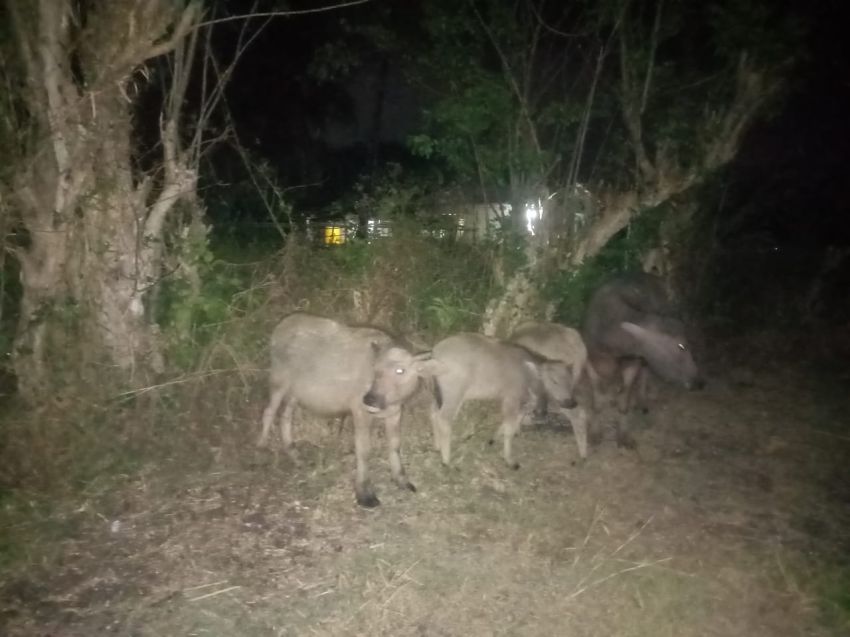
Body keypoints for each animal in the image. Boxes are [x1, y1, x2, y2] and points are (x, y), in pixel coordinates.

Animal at [256, 314, 430, 506]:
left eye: (400, 370)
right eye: (375, 368)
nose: (370, 399)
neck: (389, 402)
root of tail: (280, 326)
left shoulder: (396, 412)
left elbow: (395, 444)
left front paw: (402, 480)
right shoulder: (360, 411)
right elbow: (363, 450)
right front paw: (364, 493)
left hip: (295, 391)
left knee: (285, 416)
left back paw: (294, 454)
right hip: (279, 380)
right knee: (269, 412)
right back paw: (261, 450)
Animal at [428, 332, 572, 468]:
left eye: (569, 381)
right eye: (554, 380)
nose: (570, 402)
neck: (527, 372)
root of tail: (437, 352)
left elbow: (512, 423)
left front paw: (494, 439)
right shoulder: (511, 399)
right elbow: (509, 429)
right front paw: (509, 459)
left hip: (440, 395)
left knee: (434, 413)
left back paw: (437, 446)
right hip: (454, 396)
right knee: (443, 419)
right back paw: (446, 460)